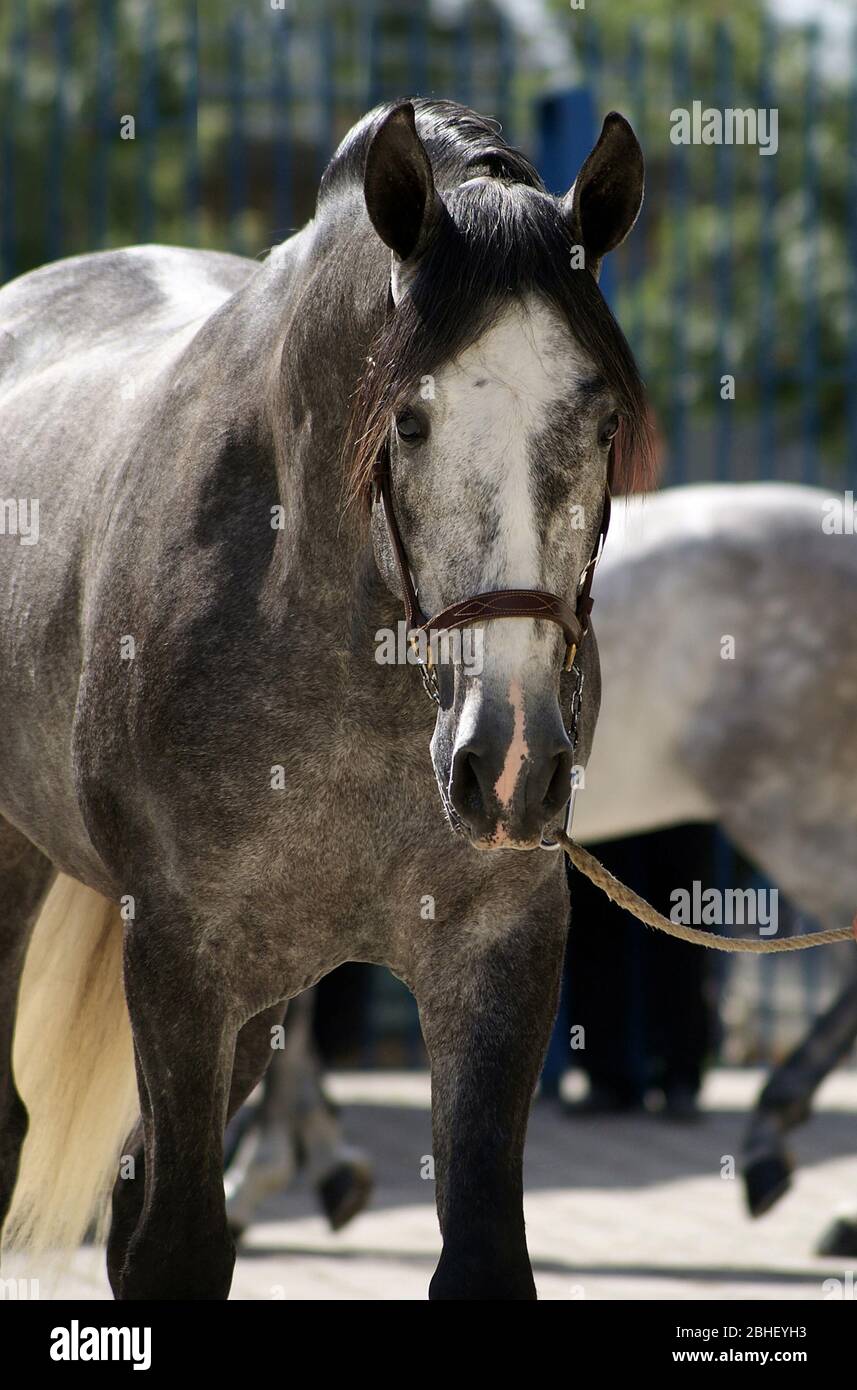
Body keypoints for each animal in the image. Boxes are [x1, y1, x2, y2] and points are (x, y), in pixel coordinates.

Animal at [0, 100, 647, 1301]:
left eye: (599, 424)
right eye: (408, 423)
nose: (511, 762)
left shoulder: (499, 945)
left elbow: (480, 1253)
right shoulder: (176, 949)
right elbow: (178, 1247)